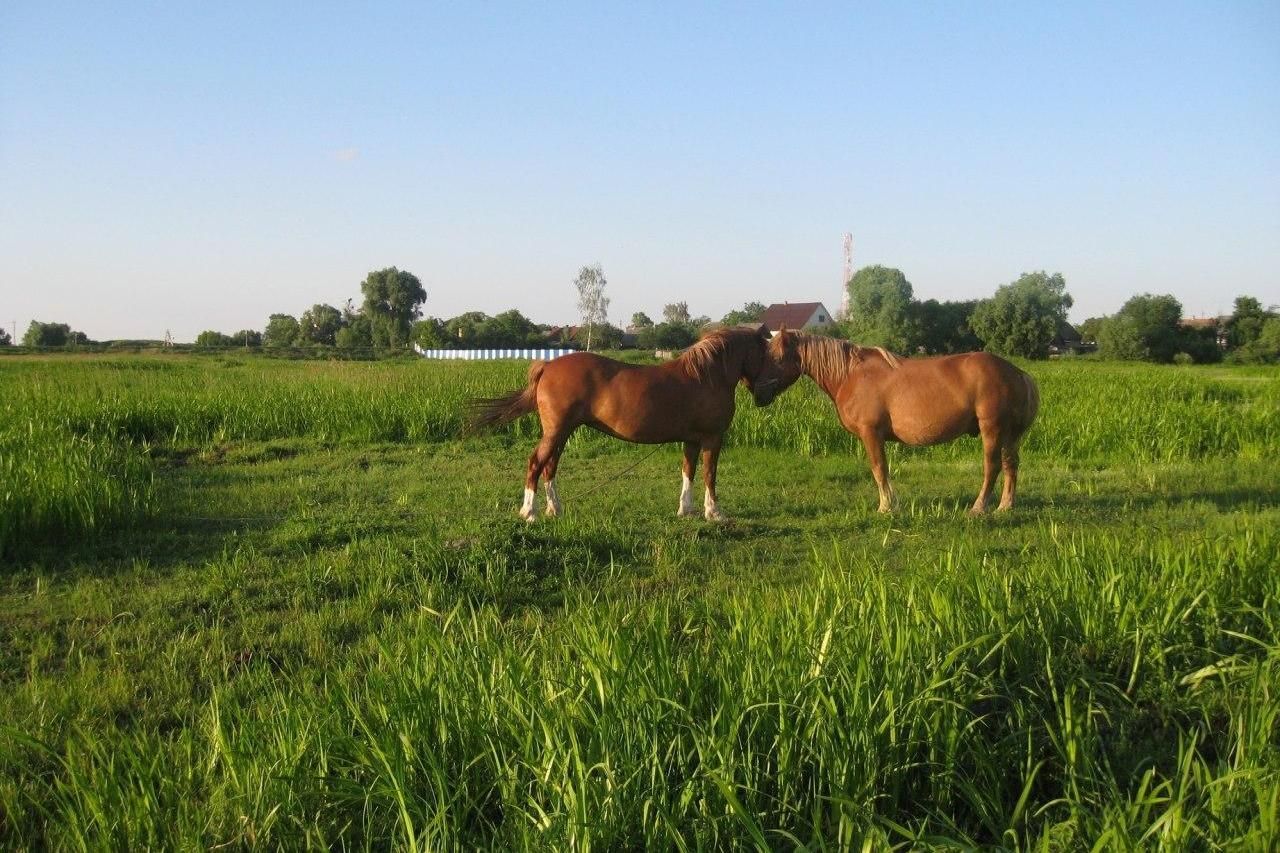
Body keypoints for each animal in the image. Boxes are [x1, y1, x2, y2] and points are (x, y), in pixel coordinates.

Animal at [468, 325, 768, 522]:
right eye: (764, 350)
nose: (764, 394)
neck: (706, 376)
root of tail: (548, 366)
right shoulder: (712, 438)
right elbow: (709, 474)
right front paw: (714, 513)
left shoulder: (692, 440)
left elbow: (689, 472)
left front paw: (687, 510)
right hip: (556, 432)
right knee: (535, 463)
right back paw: (529, 512)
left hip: (563, 433)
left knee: (550, 467)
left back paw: (555, 509)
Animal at [757, 325, 1039, 512]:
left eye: (777, 357)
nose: (758, 394)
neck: (850, 374)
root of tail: (1018, 373)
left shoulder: (871, 433)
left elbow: (879, 469)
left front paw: (886, 507)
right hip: (1010, 435)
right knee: (1011, 466)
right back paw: (1005, 506)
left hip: (992, 430)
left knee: (992, 467)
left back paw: (979, 508)